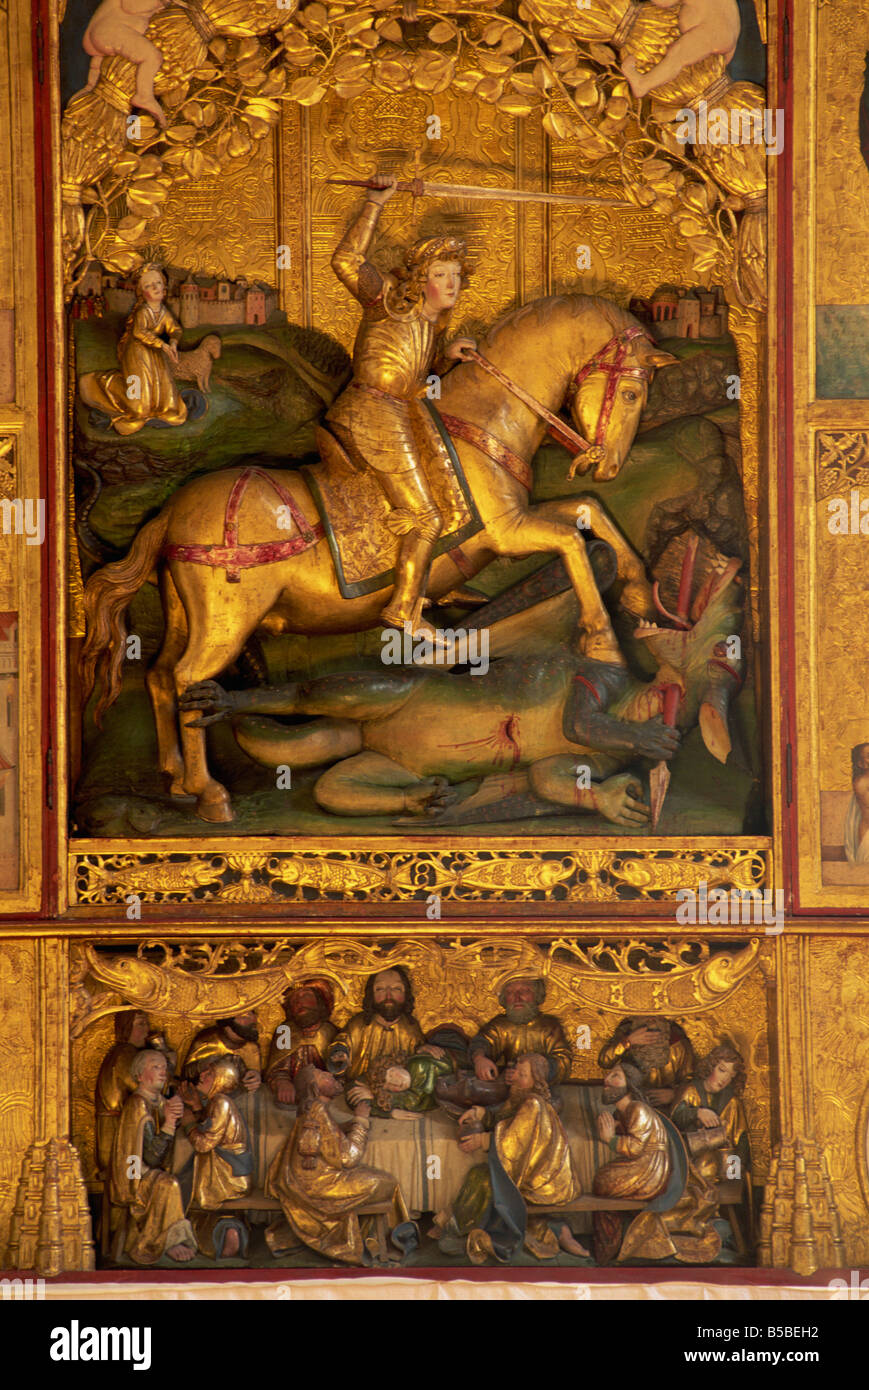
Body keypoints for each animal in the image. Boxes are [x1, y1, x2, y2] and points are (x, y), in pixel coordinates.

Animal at [81, 290, 675, 811]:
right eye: (631, 394)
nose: (609, 466)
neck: (478, 424)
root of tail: (170, 513)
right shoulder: (508, 531)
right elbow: (574, 538)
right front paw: (599, 634)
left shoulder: (520, 524)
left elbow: (590, 510)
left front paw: (642, 598)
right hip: (227, 621)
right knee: (188, 681)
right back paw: (210, 793)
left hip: (189, 615)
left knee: (159, 676)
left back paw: (177, 781)